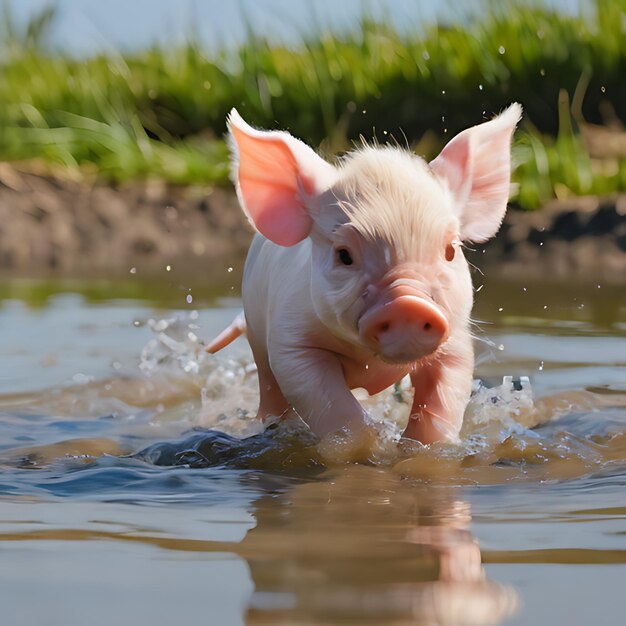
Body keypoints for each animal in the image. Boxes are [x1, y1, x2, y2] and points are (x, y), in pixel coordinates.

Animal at [207, 105, 520, 442]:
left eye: (450, 250)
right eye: (344, 255)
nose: (408, 304)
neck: (370, 363)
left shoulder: (456, 340)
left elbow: (443, 399)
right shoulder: (291, 342)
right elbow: (330, 403)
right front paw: (371, 438)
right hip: (255, 332)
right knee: (269, 386)